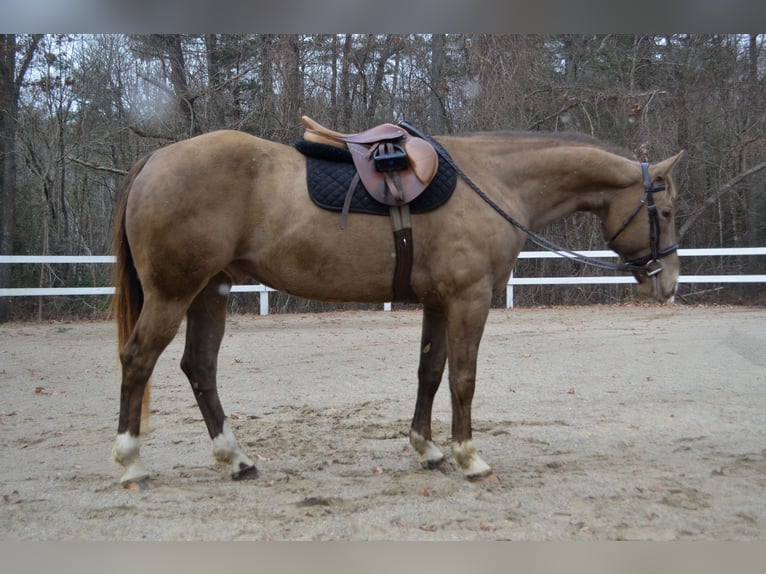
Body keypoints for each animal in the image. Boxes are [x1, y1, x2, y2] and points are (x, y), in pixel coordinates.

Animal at [110, 126, 683, 488]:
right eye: (666, 211)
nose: (669, 282)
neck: (494, 181)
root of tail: (156, 159)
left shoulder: (438, 302)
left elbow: (430, 373)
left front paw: (427, 449)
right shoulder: (469, 299)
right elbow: (463, 378)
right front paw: (469, 457)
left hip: (210, 293)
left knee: (199, 368)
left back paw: (236, 460)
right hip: (173, 294)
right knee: (138, 362)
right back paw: (131, 463)